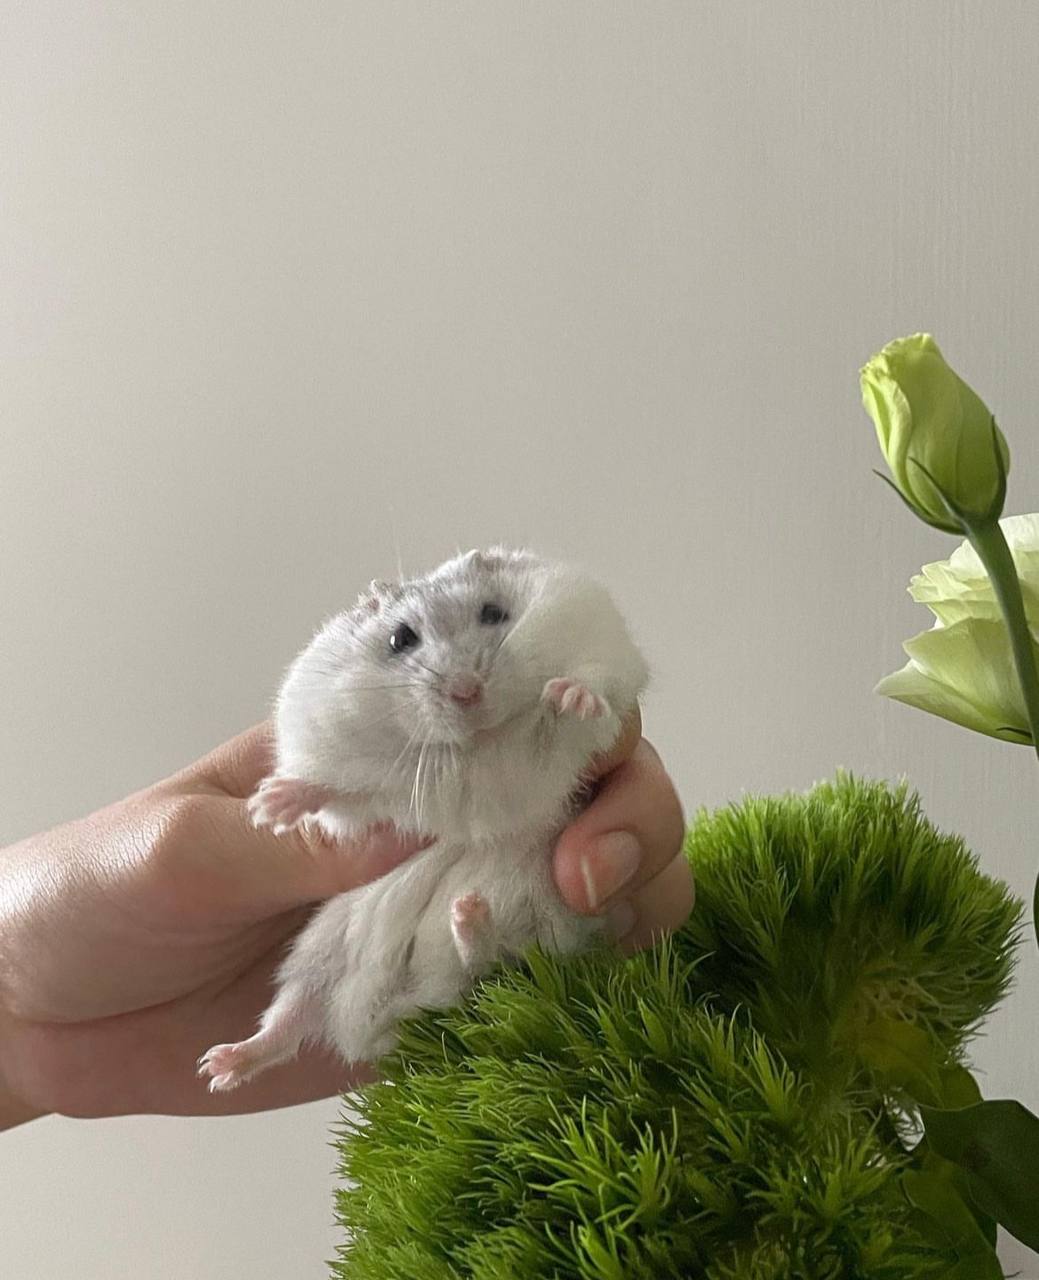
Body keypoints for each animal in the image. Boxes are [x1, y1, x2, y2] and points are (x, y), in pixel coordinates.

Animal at [197, 547, 648, 1091]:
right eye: (400, 639)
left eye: (494, 613)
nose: (467, 692)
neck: (478, 744)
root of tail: (386, 1017)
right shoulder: (344, 757)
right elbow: (341, 791)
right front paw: (270, 806)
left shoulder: (604, 652)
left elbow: (591, 686)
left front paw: (568, 696)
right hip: (320, 947)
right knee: (287, 1023)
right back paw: (220, 1065)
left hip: (547, 924)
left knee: (494, 968)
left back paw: (469, 914)